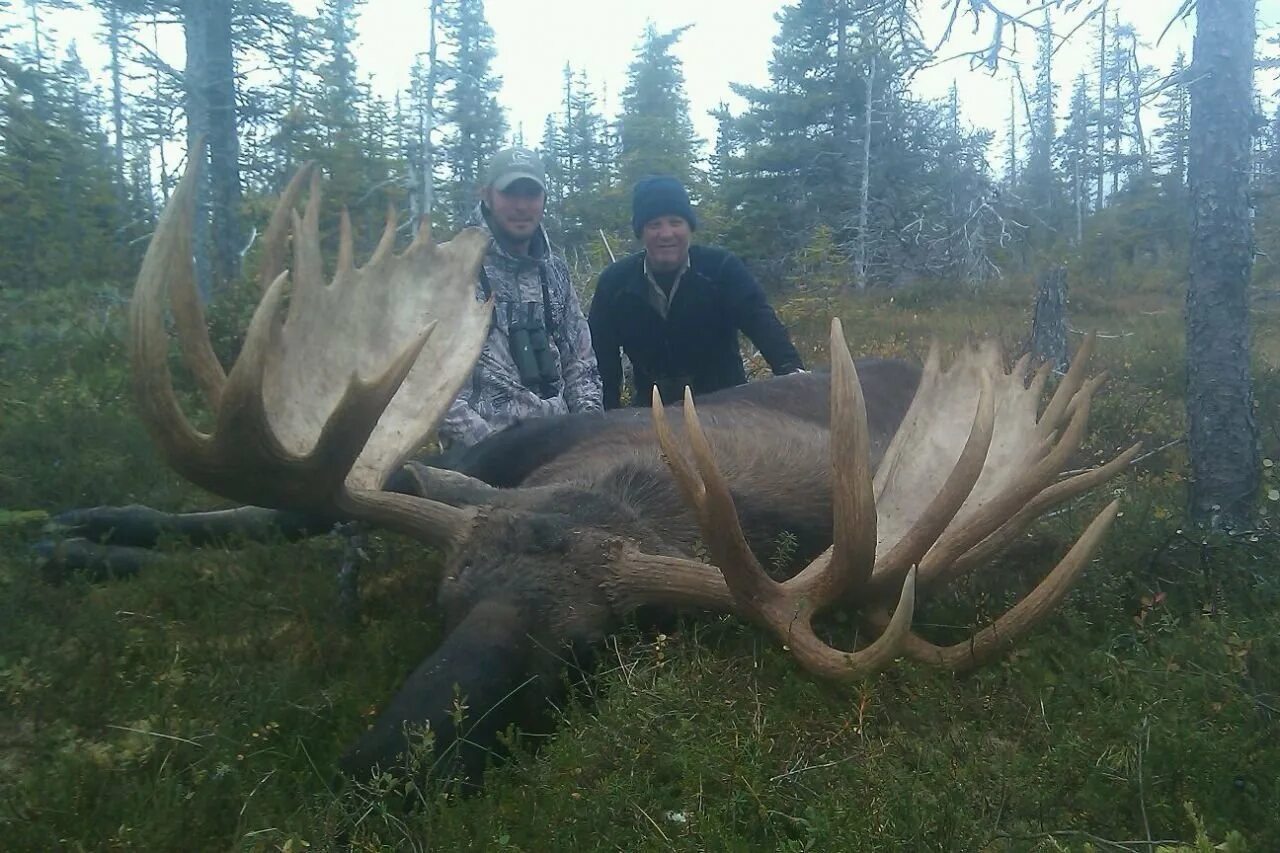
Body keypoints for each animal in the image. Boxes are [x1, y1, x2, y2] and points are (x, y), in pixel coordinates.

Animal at [52, 154, 1141, 783]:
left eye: (586, 649)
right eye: (443, 604)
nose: (381, 765)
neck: (626, 481)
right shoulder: (484, 465)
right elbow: (290, 513)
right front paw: (89, 529)